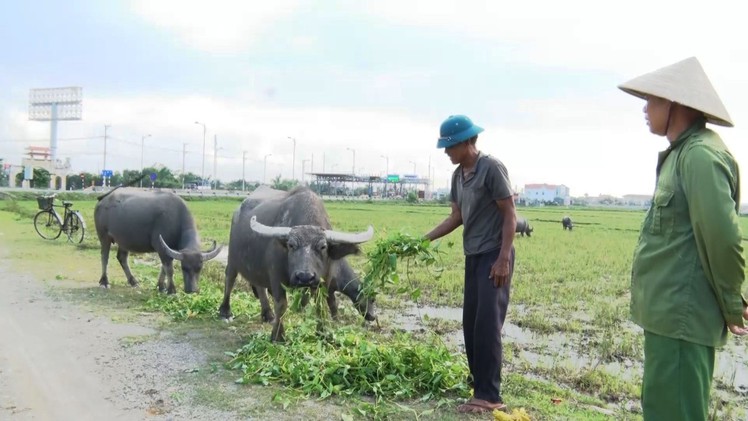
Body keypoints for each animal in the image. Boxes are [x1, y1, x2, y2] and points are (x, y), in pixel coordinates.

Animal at [94, 189, 222, 294]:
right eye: (184, 268)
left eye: (199, 268)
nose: (192, 290)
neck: (177, 218)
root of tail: (103, 199)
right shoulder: (161, 247)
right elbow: (169, 269)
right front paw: (171, 290)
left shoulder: (168, 249)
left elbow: (163, 268)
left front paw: (161, 286)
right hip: (104, 236)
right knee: (104, 257)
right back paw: (104, 282)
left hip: (124, 241)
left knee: (122, 258)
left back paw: (133, 281)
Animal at [219, 185, 376, 340]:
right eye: (291, 245)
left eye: (323, 246)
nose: (304, 277)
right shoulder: (276, 277)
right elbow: (281, 304)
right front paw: (278, 336)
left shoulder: (324, 282)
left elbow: (321, 305)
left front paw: (323, 333)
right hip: (232, 259)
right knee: (230, 279)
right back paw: (225, 312)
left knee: (259, 286)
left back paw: (267, 314)